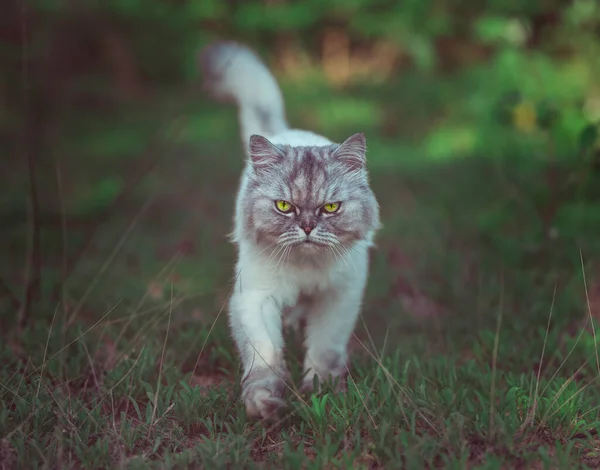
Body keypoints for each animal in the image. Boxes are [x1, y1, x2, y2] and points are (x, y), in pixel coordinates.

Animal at [200, 42, 380, 420]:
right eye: (284, 206)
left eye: (330, 208)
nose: (308, 227)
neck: (306, 267)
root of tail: (289, 132)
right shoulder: (255, 298)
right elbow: (266, 356)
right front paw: (265, 405)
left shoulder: (339, 297)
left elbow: (324, 350)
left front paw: (321, 392)